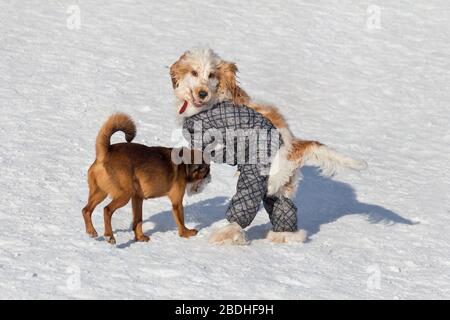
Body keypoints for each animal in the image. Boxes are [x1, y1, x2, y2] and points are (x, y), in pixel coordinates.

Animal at [81, 114, 211, 244]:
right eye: (206, 168)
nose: (209, 175)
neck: (184, 164)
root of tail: (105, 153)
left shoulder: (138, 198)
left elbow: (138, 220)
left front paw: (139, 237)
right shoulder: (177, 202)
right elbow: (181, 220)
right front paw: (186, 233)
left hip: (101, 193)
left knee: (86, 210)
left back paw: (91, 231)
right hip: (124, 194)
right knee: (107, 210)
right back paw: (109, 236)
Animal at [169, 47, 366, 244]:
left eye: (211, 75)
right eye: (194, 72)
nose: (203, 93)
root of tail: (295, 146)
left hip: (256, 178)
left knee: (242, 211)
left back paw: (225, 235)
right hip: (282, 190)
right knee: (284, 211)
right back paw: (283, 236)